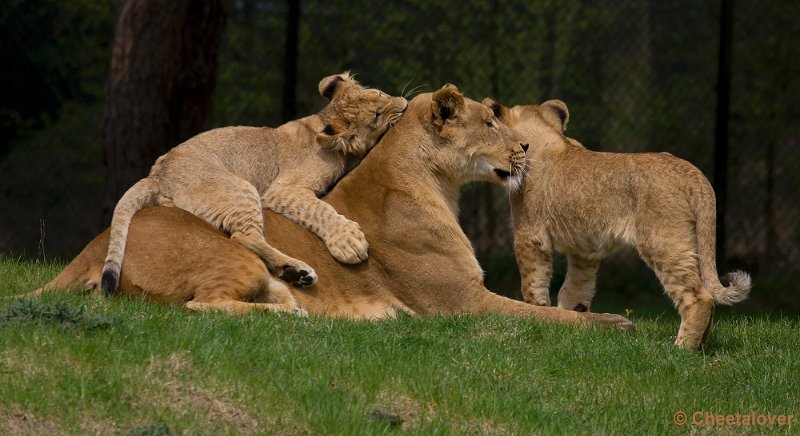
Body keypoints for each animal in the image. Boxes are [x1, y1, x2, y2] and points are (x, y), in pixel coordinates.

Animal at [23, 85, 632, 330]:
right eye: (489, 121)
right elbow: (551, 318)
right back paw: (292, 311)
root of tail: (94, 245)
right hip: (234, 254)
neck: (435, 185)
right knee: (202, 304)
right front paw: (614, 323)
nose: (524, 150)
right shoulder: (462, 305)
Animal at [484, 97, 752, 350]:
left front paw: (538, 314)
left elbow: (534, 283)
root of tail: (694, 174)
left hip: (664, 242)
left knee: (699, 297)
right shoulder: (585, 252)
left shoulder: (530, 236)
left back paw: (681, 348)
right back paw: (700, 344)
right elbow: (575, 289)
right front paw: (574, 323)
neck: (545, 133)